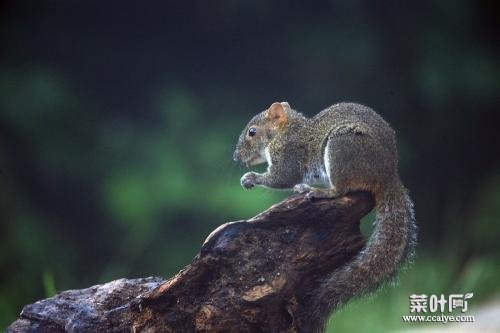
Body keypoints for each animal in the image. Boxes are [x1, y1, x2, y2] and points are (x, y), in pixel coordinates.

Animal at [232, 102, 416, 332]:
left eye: (252, 132)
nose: (236, 157)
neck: (285, 132)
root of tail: (388, 175)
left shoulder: (288, 157)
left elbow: (281, 178)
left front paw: (250, 178)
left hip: (342, 147)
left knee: (341, 189)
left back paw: (316, 191)